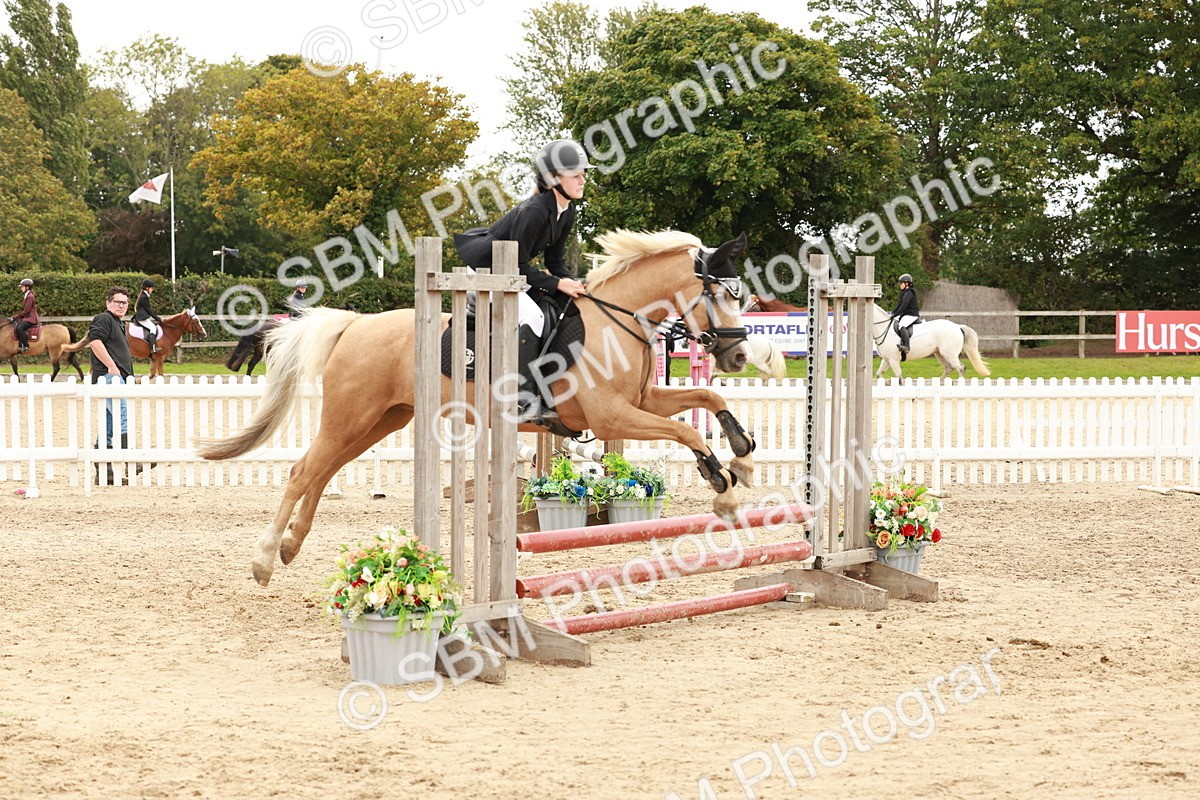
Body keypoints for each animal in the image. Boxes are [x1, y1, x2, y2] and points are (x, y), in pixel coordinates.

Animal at [198, 229, 757, 587]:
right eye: (720, 296)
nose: (738, 356)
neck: (615, 320)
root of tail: (355, 323)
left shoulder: (639, 402)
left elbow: (709, 399)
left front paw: (744, 454)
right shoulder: (610, 417)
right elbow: (687, 433)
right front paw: (724, 490)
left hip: (379, 420)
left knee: (321, 470)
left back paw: (290, 547)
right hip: (352, 416)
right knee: (303, 471)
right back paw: (264, 561)